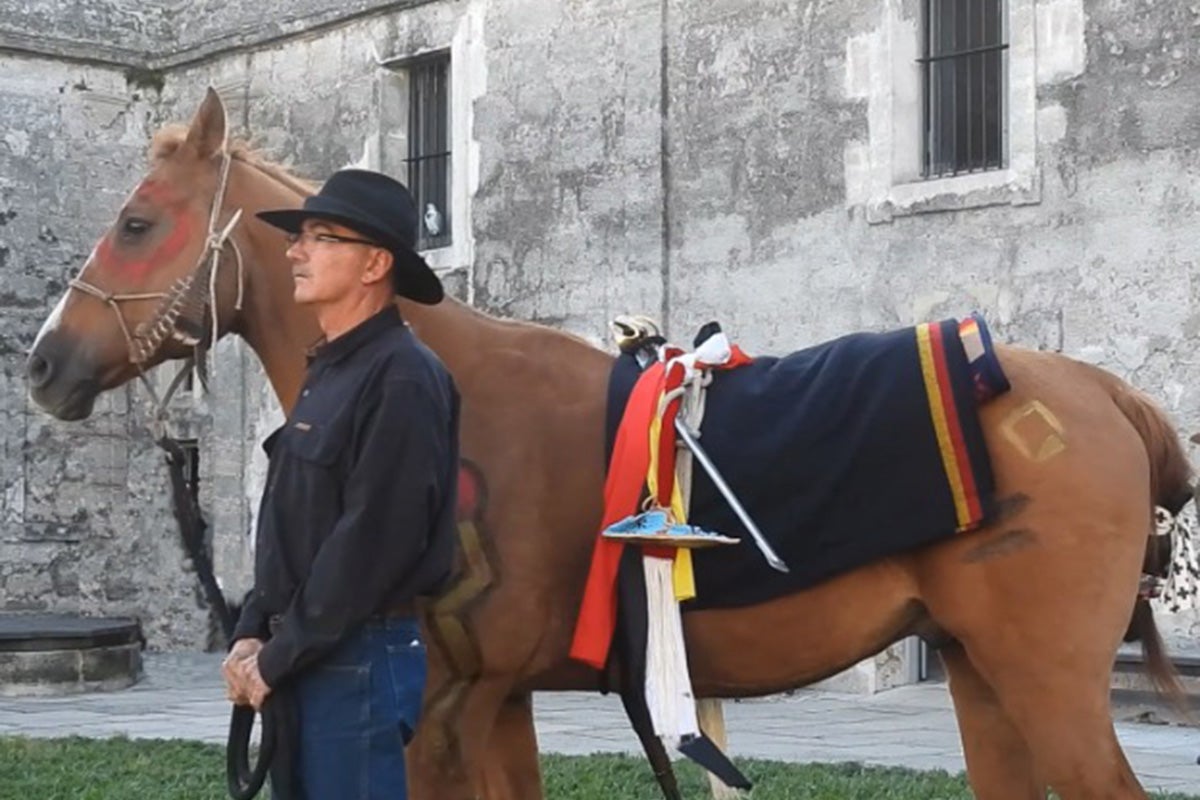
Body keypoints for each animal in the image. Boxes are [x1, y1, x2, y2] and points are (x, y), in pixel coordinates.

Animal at [25, 89, 1190, 800]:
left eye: (138, 223)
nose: (43, 363)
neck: (448, 387)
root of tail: (1104, 393)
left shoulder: (443, 708)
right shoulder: (493, 702)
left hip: (1044, 682)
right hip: (980, 672)